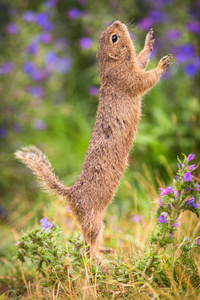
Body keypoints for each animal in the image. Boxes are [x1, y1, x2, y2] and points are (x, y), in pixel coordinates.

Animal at [15, 20, 172, 264]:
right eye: (114, 38)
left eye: (110, 33)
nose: (117, 22)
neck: (110, 67)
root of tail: (71, 194)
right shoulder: (129, 80)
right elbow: (146, 80)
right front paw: (162, 65)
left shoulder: (133, 67)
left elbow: (141, 59)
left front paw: (149, 42)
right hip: (93, 219)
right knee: (89, 243)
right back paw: (100, 258)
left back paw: (105, 251)